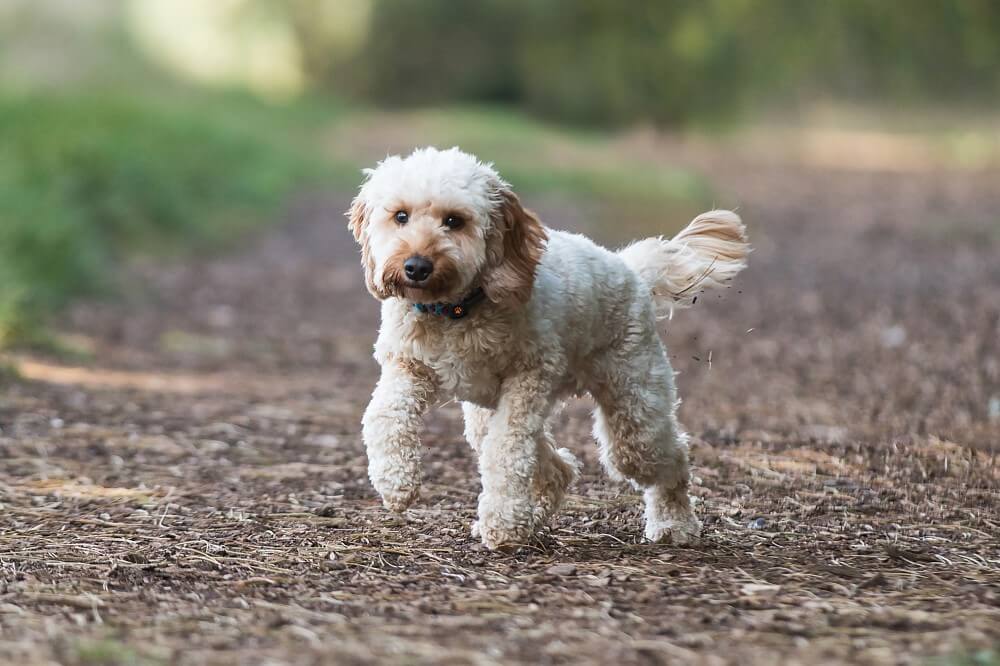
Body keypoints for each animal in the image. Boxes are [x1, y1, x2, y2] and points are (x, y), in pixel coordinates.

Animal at [348, 147, 748, 548]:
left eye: (454, 221)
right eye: (400, 216)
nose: (416, 266)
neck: (454, 311)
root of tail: (631, 269)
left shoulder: (530, 377)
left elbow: (507, 449)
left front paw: (502, 520)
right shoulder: (406, 366)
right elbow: (383, 415)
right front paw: (394, 481)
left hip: (634, 407)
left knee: (667, 457)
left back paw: (673, 522)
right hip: (486, 411)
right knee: (557, 468)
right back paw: (535, 515)